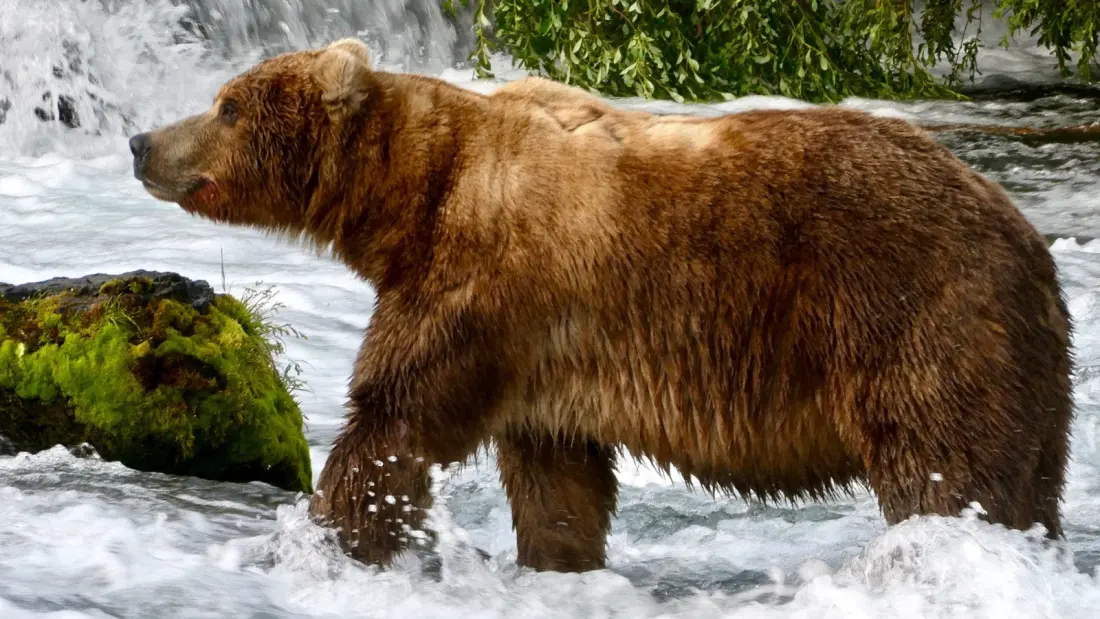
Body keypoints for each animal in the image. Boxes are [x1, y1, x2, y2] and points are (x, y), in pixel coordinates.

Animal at [129, 37, 1074, 574]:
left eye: (226, 105)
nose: (141, 140)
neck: (415, 196)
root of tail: (1029, 241)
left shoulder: (480, 286)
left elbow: (394, 417)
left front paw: (328, 538)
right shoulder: (541, 355)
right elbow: (557, 480)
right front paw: (560, 562)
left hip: (916, 318)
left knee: (944, 476)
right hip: (1029, 377)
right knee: (1026, 488)